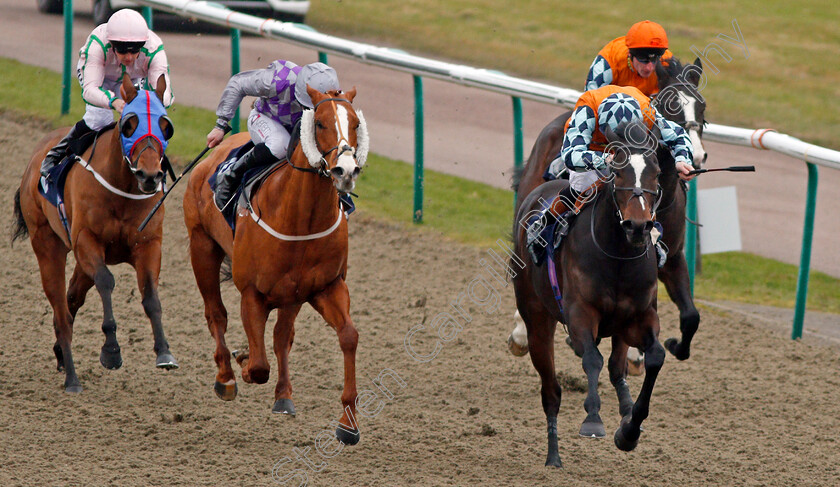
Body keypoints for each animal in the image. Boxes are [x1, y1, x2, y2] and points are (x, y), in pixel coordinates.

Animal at [12, 77, 177, 396]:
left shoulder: (148, 245)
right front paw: (111, 350)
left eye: (166, 126)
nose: (150, 176)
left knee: (72, 298)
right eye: (129, 125)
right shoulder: (87, 241)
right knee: (61, 311)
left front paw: (164, 351)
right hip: (47, 243)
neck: (122, 188)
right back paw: (72, 378)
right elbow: (106, 281)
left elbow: (151, 295)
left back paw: (60, 354)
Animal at [184, 86, 368, 446]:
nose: (346, 170)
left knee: (283, 336)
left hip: (291, 294)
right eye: (320, 123)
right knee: (216, 314)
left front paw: (349, 424)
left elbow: (348, 336)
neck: (300, 217)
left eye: (355, 122)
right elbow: (258, 366)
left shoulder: (326, 286)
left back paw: (284, 396)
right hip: (202, 247)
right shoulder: (252, 293)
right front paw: (242, 361)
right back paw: (226, 376)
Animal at [506, 58, 708, 366]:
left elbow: (690, 315)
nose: (696, 157)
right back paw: (520, 333)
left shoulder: (672, 258)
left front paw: (673, 347)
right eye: (669, 104)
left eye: (702, 105)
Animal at [512, 120, 668, 468]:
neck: (618, 257)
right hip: (537, 319)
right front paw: (593, 420)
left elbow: (654, 356)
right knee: (551, 392)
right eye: (618, 171)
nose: (639, 226)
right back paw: (553, 456)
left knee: (613, 367)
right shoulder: (580, 313)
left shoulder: (639, 317)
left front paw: (629, 430)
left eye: (656, 172)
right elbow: (592, 359)